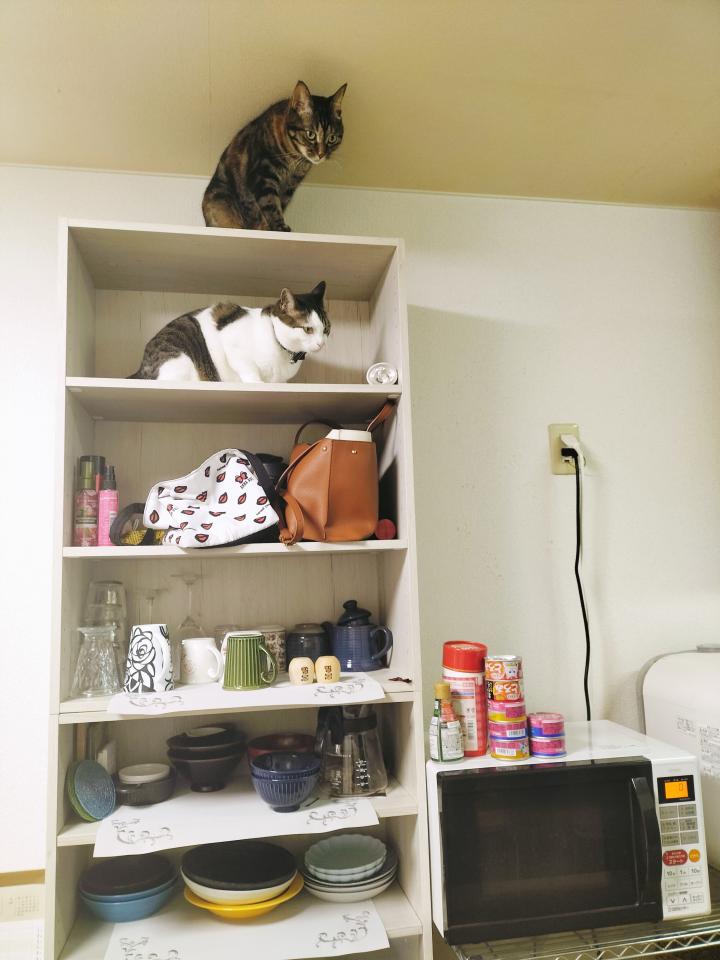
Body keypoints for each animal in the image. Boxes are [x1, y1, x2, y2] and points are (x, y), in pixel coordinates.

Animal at [127, 283, 329, 383]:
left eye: (326, 329)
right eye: (308, 329)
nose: (321, 344)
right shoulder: (231, 341)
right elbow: (249, 369)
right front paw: (256, 382)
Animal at [202, 80, 346, 231]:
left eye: (332, 138)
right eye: (310, 134)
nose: (321, 154)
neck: (294, 160)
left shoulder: (290, 186)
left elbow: (279, 204)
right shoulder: (263, 175)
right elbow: (270, 204)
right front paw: (279, 227)